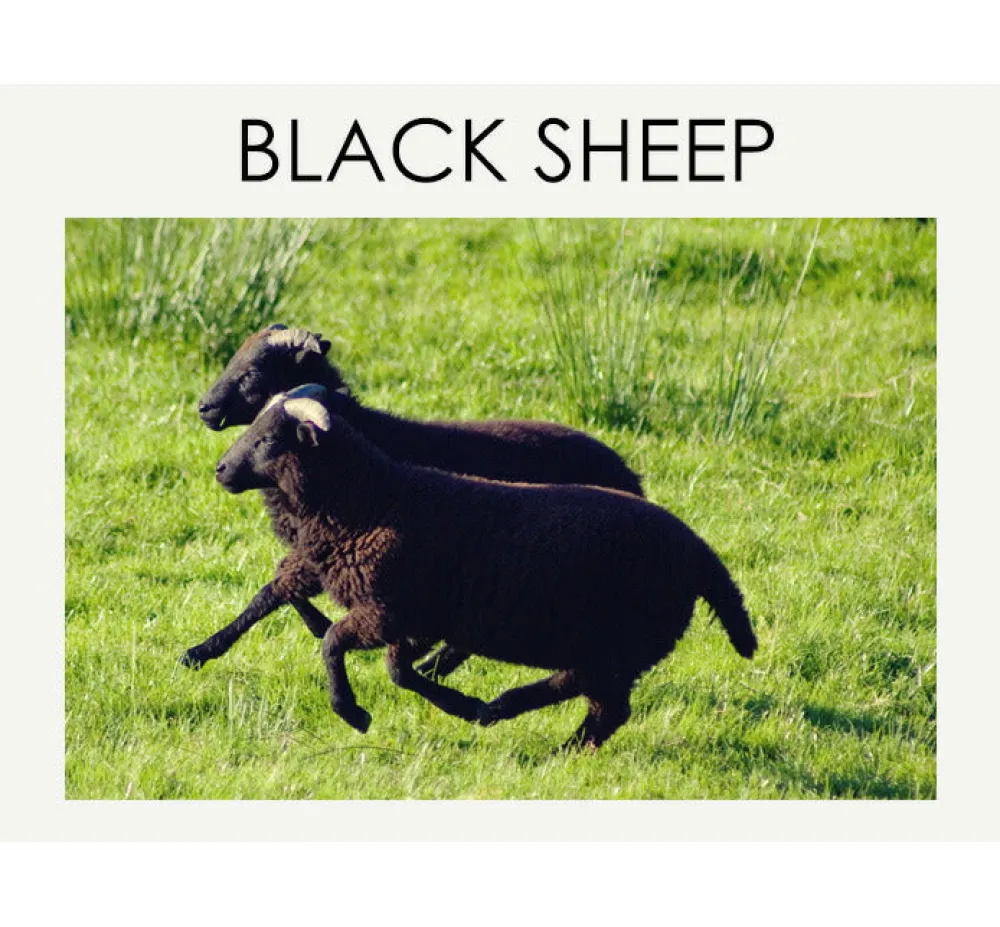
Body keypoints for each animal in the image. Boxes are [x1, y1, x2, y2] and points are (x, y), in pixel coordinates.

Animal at [184, 323, 644, 677]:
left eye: (252, 372)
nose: (204, 407)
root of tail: (631, 477)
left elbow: (275, 591)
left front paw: (202, 651)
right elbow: (274, 591)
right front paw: (208, 649)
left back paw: (432, 666)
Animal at [212, 384, 758, 750]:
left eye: (269, 441)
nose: (219, 470)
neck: (371, 500)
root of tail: (700, 552)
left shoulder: (388, 611)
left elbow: (333, 644)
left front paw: (353, 715)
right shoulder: (417, 620)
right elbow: (397, 670)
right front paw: (459, 704)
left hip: (623, 641)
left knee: (605, 708)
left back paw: (551, 745)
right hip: (613, 648)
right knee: (589, 695)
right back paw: (506, 712)